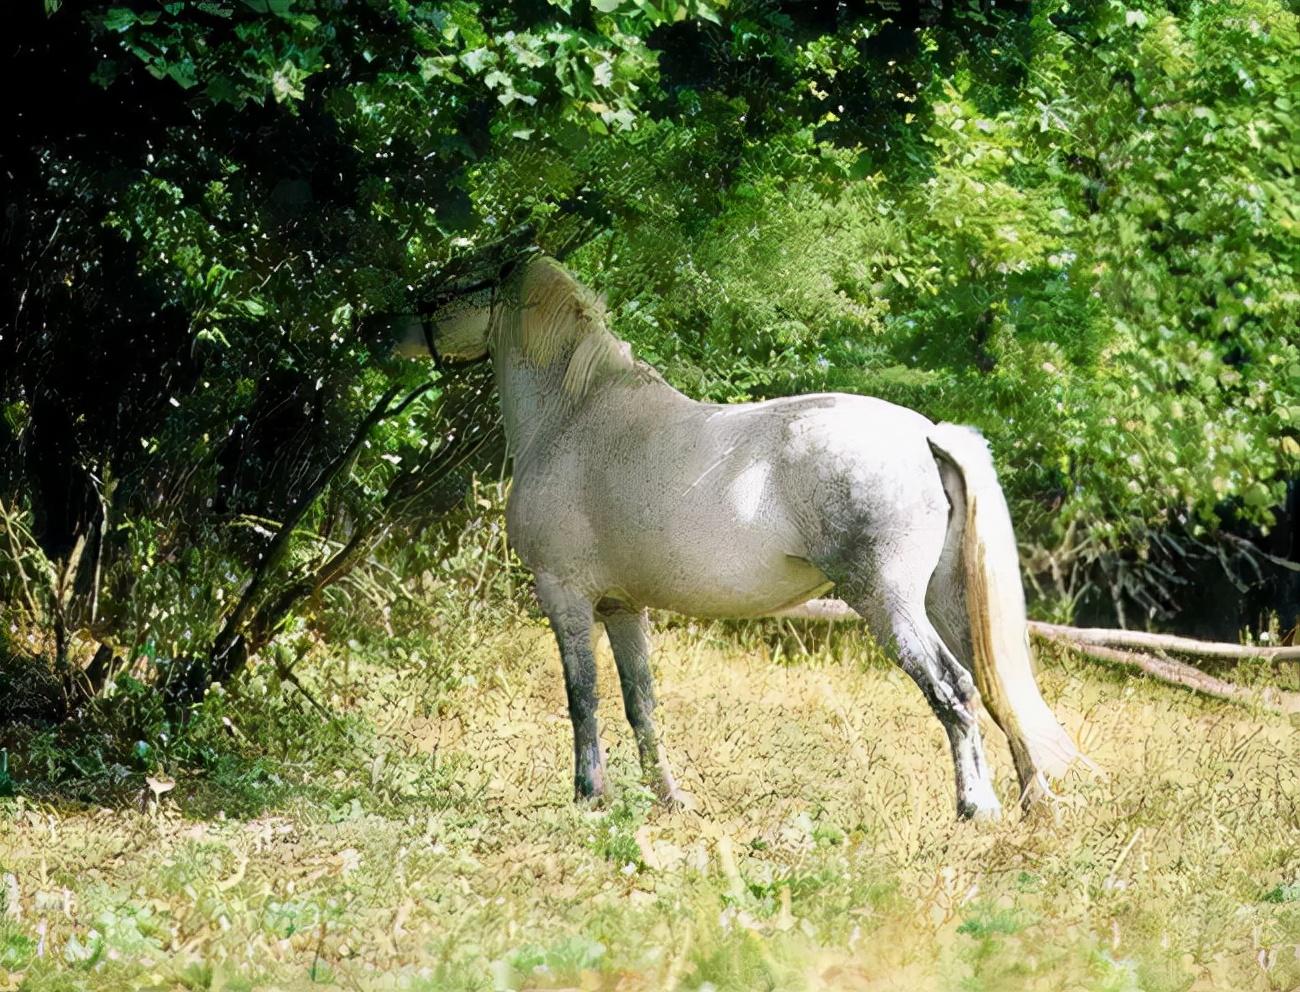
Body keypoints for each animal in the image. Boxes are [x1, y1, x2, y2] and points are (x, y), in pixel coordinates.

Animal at [405, 256, 1086, 821]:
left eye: (459, 281)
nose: (394, 326)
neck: (574, 416)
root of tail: (926, 434)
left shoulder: (565, 595)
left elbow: (583, 697)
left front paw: (589, 796)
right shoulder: (622, 607)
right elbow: (640, 702)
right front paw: (670, 799)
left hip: (890, 604)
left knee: (954, 689)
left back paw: (978, 808)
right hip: (946, 602)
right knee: (997, 690)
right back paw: (1036, 806)